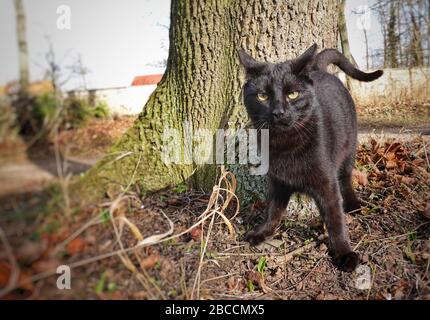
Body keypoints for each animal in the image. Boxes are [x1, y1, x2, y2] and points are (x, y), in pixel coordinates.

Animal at [239, 43, 382, 272]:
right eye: (262, 97)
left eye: (293, 94)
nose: (278, 112)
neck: (284, 145)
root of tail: (319, 70)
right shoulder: (277, 181)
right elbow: (273, 210)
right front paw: (262, 232)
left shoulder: (326, 184)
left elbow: (335, 218)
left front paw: (344, 253)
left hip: (349, 149)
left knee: (346, 178)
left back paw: (353, 205)